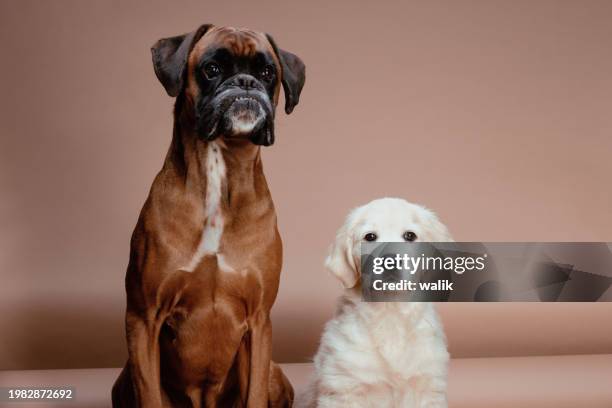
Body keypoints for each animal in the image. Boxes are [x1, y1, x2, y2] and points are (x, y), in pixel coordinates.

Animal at [110, 25, 306, 408]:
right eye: (212, 69)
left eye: (267, 73)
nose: (245, 82)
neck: (221, 168)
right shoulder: (143, 319)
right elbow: (149, 393)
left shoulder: (259, 322)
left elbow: (254, 394)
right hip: (123, 379)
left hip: (275, 372)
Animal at [298, 197, 452, 404]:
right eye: (370, 237)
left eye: (410, 235)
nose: (390, 262)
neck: (390, 312)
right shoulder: (343, 388)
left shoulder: (428, 386)